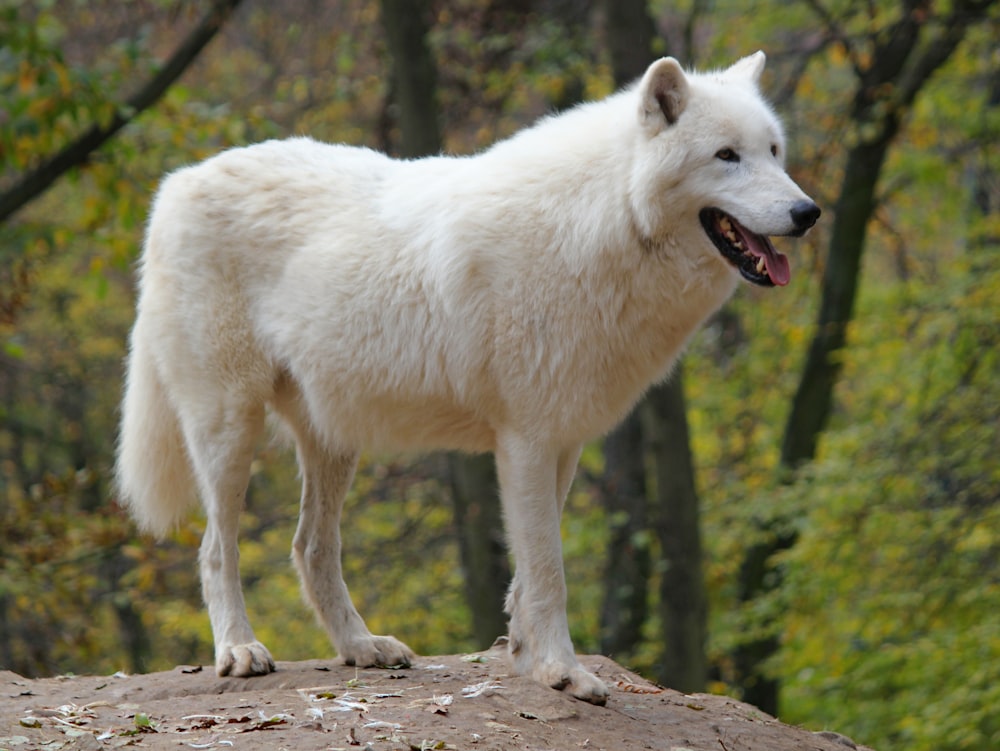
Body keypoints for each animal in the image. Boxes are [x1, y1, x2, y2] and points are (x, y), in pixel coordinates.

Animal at [117, 51, 820, 704]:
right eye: (726, 156)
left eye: (774, 151)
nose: (807, 211)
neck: (602, 223)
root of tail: (176, 183)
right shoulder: (526, 442)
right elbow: (550, 569)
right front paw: (564, 672)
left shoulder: (563, 441)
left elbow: (530, 572)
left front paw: (527, 656)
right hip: (229, 430)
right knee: (216, 550)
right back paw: (238, 650)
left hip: (333, 440)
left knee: (309, 548)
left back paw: (362, 647)